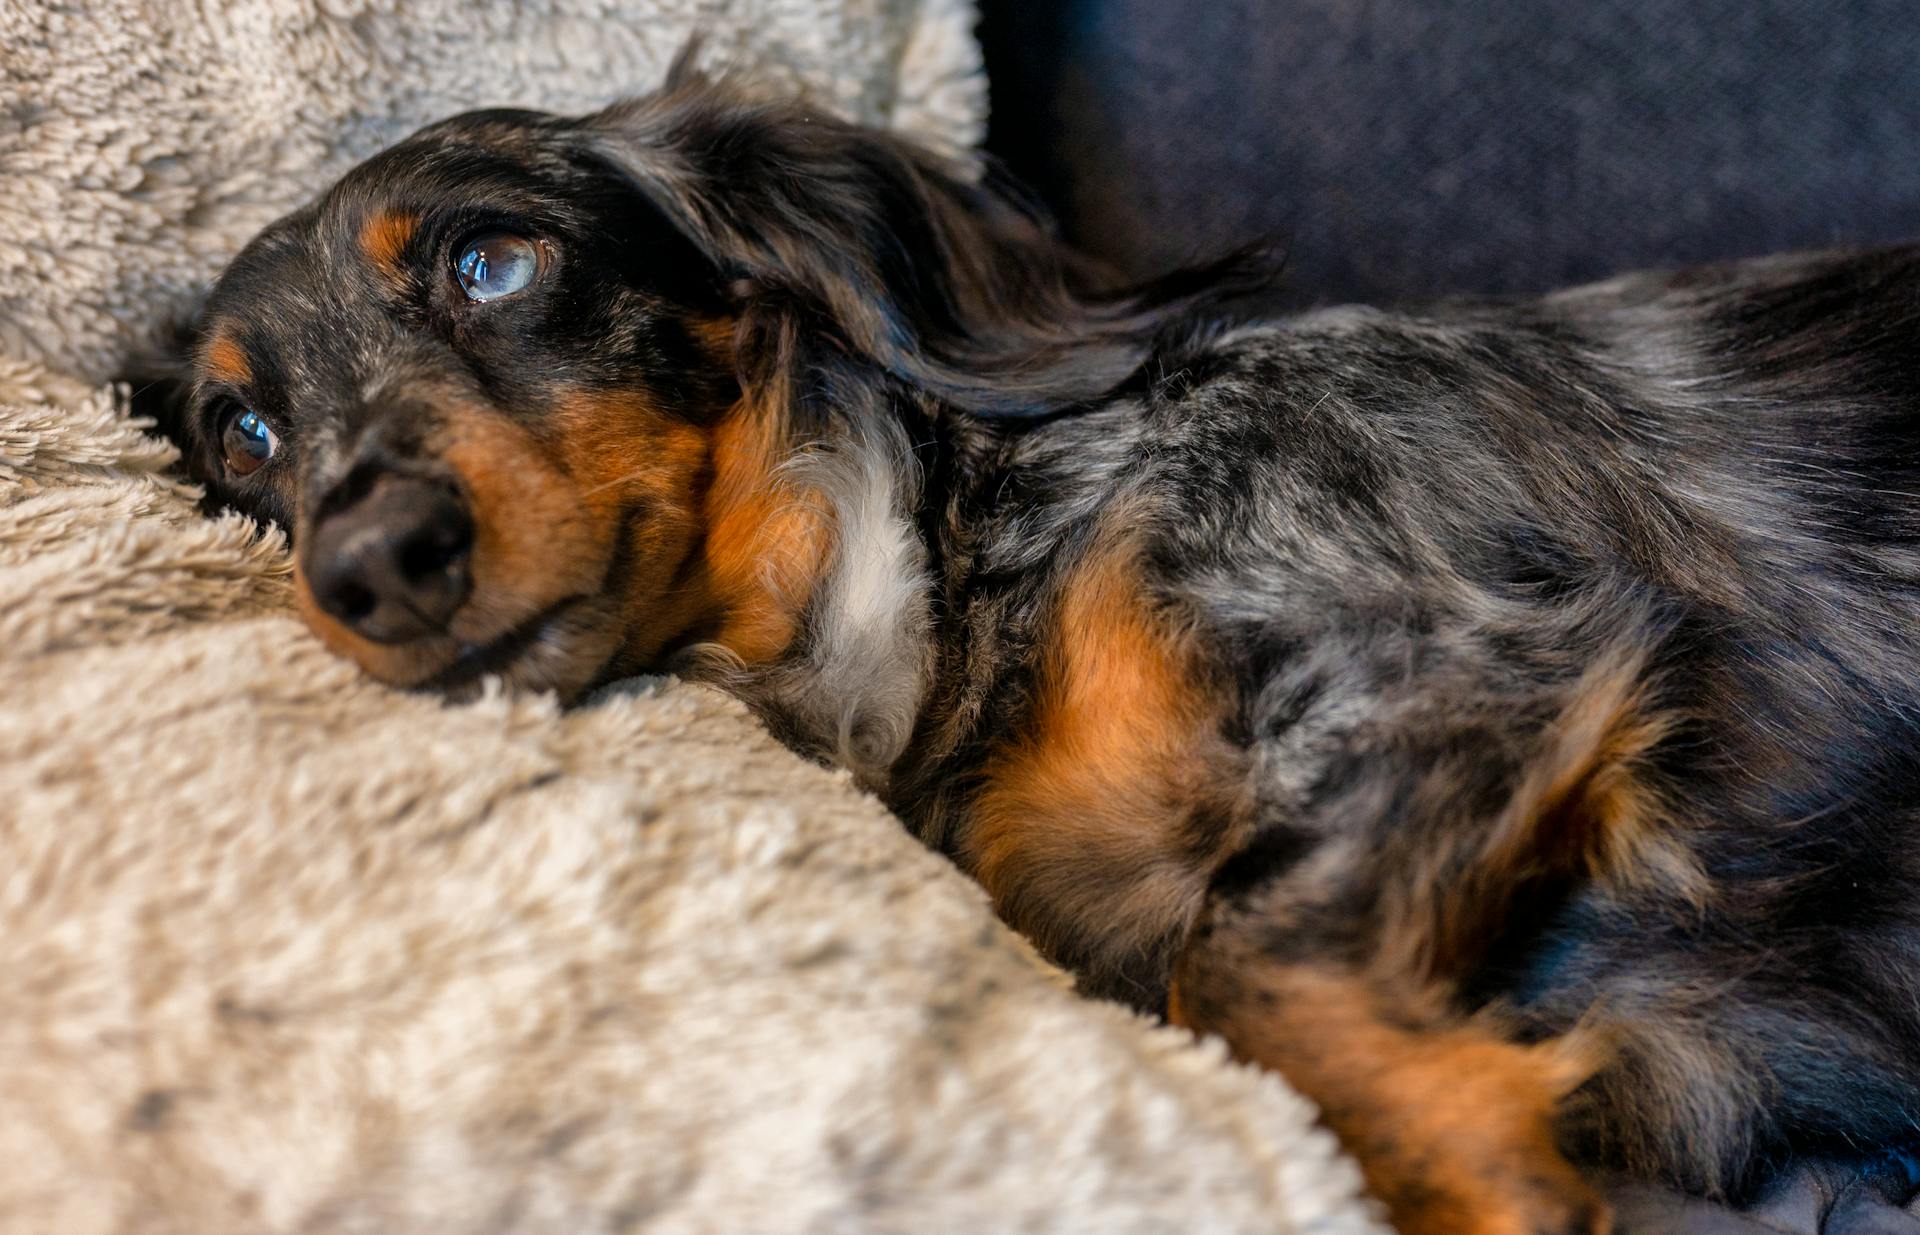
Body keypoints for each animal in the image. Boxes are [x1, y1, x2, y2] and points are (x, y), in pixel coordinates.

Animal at [153, 58, 1920, 1235]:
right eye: (244, 431)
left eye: (493, 260)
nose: (369, 561)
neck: (984, 551)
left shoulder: (1442, 648)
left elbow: (1249, 960)